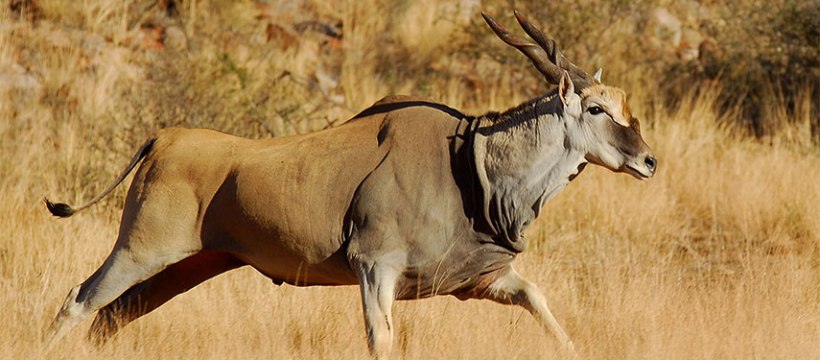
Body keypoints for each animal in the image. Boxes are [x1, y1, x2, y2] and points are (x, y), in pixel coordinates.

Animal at [44, 9, 660, 358]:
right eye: (598, 109)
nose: (650, 161)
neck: (468, 159)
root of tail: (163, 138)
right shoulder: (374, 267)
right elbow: (380, 339)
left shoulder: (481, 281)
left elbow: (540, 302)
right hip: (140, 250)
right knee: (78, 301)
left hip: (189, 265)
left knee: (110, 318)